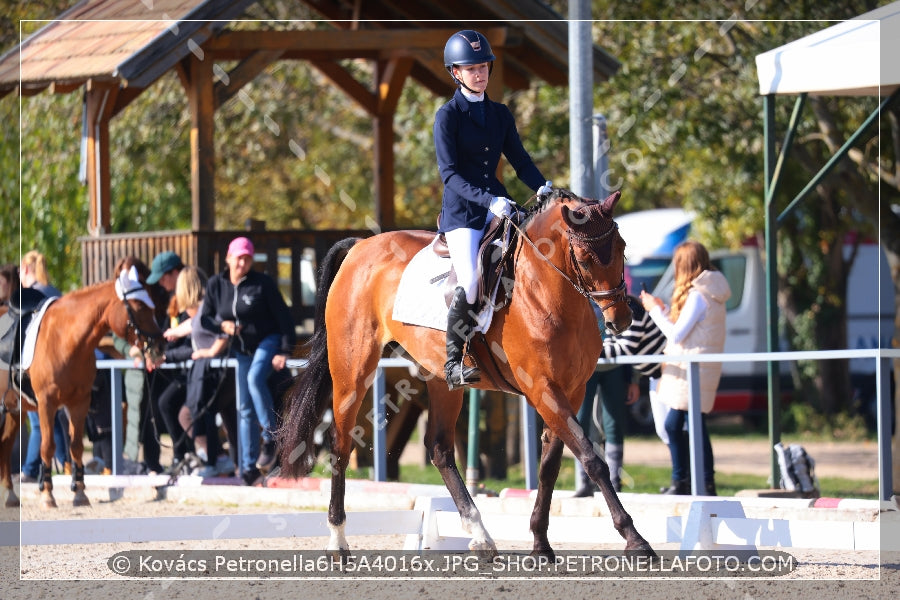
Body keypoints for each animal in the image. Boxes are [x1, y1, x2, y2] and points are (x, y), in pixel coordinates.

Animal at [0, 255, 163, 508]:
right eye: (138, 307)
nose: (159, 348)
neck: (66, 339)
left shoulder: (79, 402)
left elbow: (75, 446)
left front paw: (79, 493)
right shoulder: (47, 404)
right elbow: (48, 446)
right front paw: (47, 494)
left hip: (14, 409)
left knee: (6, 445)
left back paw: (9, 494)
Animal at [280, 189, 652, 556]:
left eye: (621, 247)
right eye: (585, 258)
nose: (621, 320)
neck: (547, 292)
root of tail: (360, 247)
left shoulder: (573, 392)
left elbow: (550, 467)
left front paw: (540, 543)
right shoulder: (543, 390)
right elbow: (591, 458)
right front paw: (635, 538)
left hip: (441, 381)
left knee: (440, 449)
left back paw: (481, 535)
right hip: (353, 371)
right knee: (341, 444)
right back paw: (338, 540)